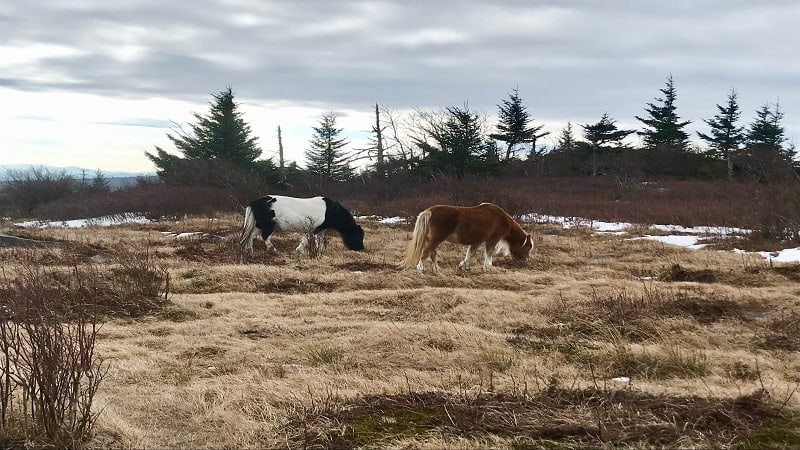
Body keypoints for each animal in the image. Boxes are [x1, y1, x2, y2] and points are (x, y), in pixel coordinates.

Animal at [398, 203, 532, 272]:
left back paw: (436, 269)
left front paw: (463, 265)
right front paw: (489, 265)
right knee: (426, 252)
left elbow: (470, 253)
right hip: (435, 239)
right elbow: (489, 252)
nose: (526, 260)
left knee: (432, 253)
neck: (501, 218)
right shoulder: (493, 238)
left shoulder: (477, 241)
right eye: (528, 247)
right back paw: (420, 268)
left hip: (432, 239)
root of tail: (428, 212)